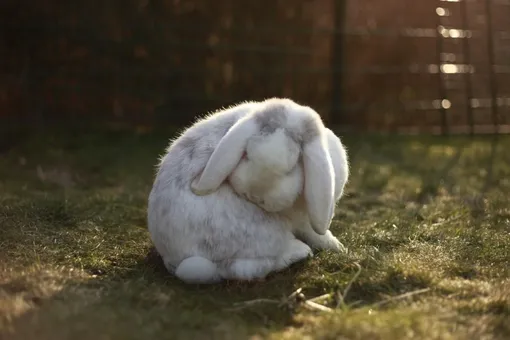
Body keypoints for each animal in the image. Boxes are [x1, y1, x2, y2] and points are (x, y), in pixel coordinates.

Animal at [146, 97, 346, 282]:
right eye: (246, 154)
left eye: (291, 168)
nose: (254, 196)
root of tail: (172, 257)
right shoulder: (302, 221)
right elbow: (315, 233)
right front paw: (337, 247)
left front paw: (338, 248)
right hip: (262, 236)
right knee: (248, 267)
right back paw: (300, 252)